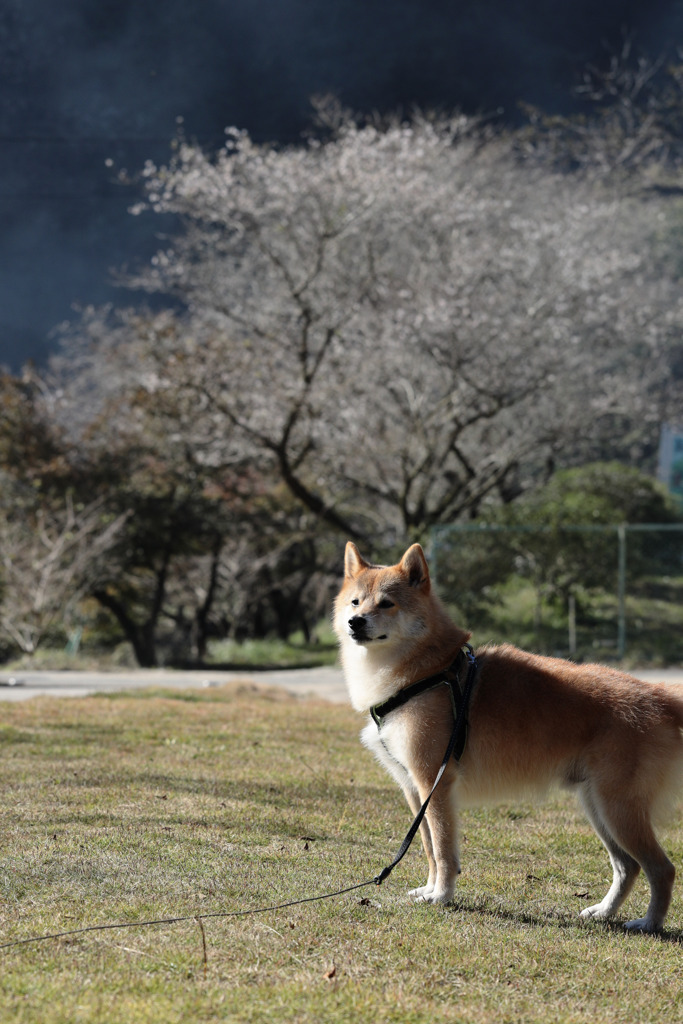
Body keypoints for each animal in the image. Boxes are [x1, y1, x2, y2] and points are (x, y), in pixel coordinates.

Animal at [333, 540, 683, 933]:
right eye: (356, 602)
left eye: (387, 603)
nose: (356, 622)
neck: (426, 670)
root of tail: (659, 695)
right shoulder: (414, 789)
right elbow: (428, 848)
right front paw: (428, 889)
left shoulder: (435, 784)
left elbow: (443, 848)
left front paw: (441, 896)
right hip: (599, 806)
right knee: (629, 866)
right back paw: (603, 913)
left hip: (618, 809)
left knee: (662, 869)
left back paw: (649, 923)